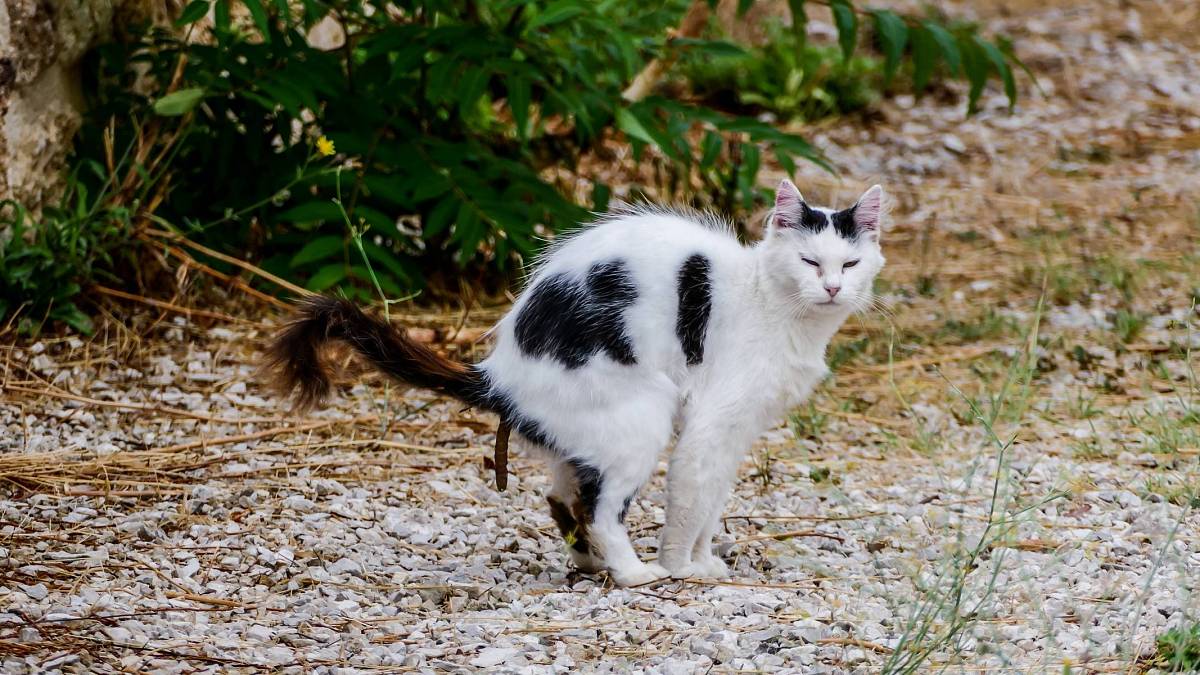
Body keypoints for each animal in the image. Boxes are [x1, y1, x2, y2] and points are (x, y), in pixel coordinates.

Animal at [267, 178, 888, 583]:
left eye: (850, 265)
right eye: (809, 262)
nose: (833, 287)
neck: (778, 309)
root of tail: (498, 373)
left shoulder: (735, 435)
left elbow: (712, 503)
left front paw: (706, 559)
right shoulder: (711, 426)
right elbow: (691, 502)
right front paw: (683, 566)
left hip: (589, 435)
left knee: (562, 496)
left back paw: (589, 562)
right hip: (642, 415)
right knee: (600, 509)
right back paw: (636, 573)